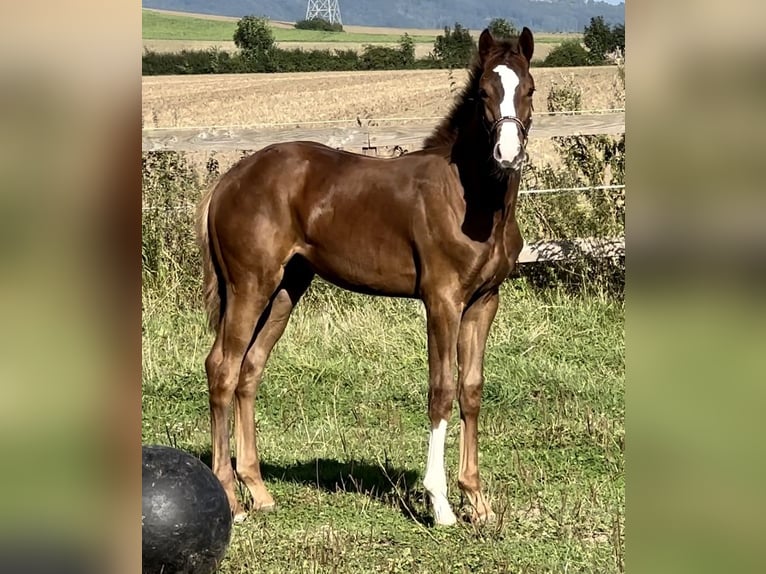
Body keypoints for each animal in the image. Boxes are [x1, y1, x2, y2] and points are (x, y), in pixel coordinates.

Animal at [195, 29, 536, 528]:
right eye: (483, 94)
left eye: (529, 89)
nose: (507, 154)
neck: (470, 199)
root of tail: (229, 180)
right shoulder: (442, 300)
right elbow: (442, 390)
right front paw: (441, 505)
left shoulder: (484, 301)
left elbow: (471, 390)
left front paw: (478, 502)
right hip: (249, 285)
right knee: (222, 367)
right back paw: (231, 500)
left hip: (285, 289)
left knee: (249, 371)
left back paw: (258, 491)